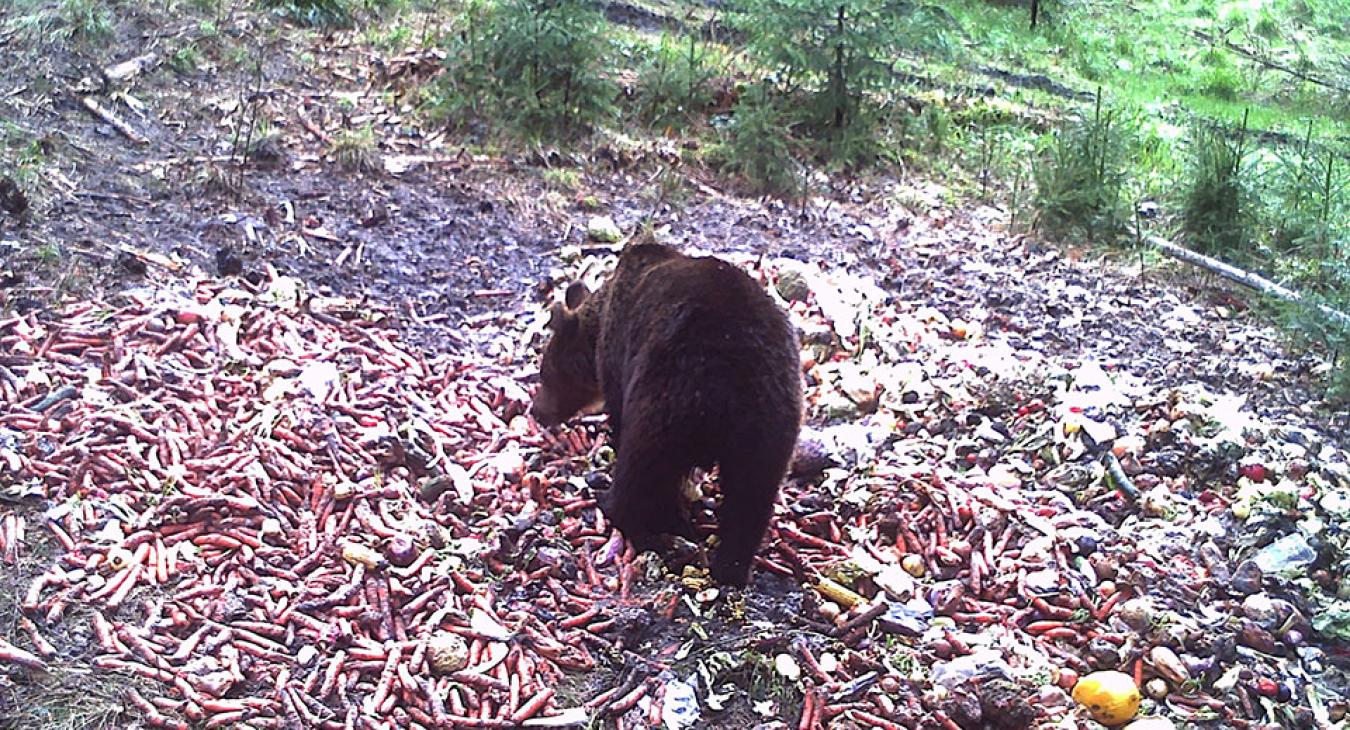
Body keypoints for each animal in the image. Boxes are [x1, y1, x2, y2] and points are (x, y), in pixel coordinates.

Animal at [526, 242, 799, 585]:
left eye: (545, 373)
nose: (537, 411)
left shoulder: (619, 357)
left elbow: (619, 416)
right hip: (770, 422)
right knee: (751, 495)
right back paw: (731, 565)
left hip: (667, 392)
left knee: (642, 466)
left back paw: (617, 507)